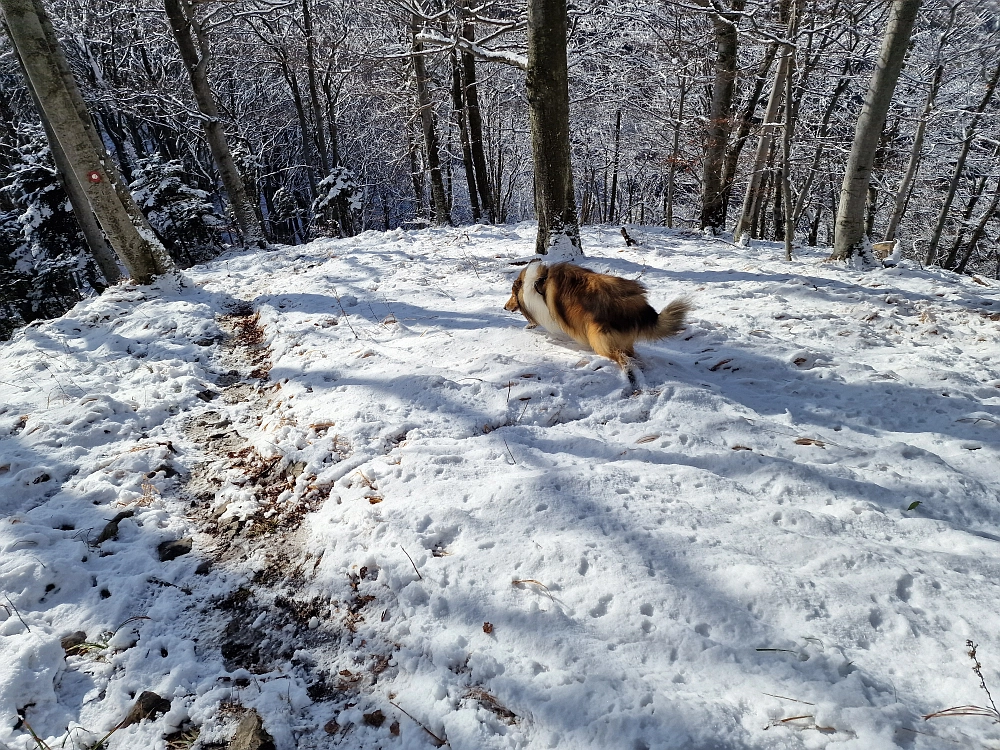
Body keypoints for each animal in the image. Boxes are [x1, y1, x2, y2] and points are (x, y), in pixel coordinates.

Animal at [504, 262, 692, 382]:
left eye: (512, 295)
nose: (504, 307)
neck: (538, 281)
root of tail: (639, 307)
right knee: (631, 354)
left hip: (598, 337)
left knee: (620, 357)